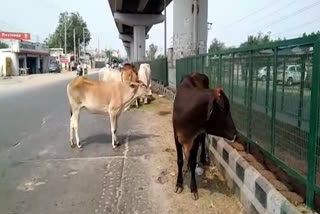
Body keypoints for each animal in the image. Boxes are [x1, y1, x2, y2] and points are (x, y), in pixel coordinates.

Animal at [172, 72, 238, 200]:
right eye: (223, 108)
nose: (235, 134)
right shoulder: (176, 136)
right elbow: (180, 160)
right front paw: (179, 183)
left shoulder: (195, 137)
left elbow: (193, 162)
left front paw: (193, 188)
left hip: (201, 134)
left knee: (203, 140)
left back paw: (202, 157)